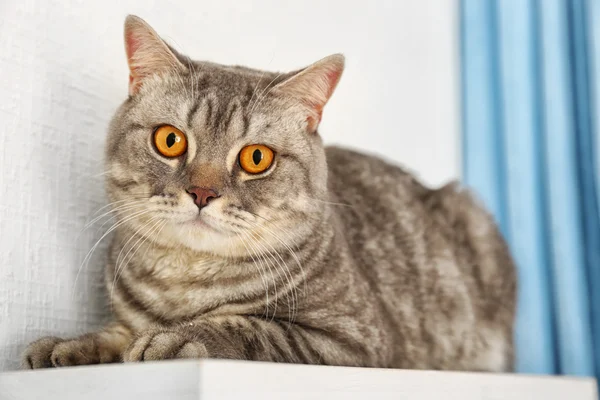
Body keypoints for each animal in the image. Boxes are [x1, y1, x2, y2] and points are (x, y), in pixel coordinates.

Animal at [22, 14, 516, 372]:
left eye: (256, 158)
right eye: (170, 140)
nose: (201, 192)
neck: (183, 286)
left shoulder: (353, 340)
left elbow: (250, 328)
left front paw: (180, 336)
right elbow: (117, 331)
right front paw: (70, 345)